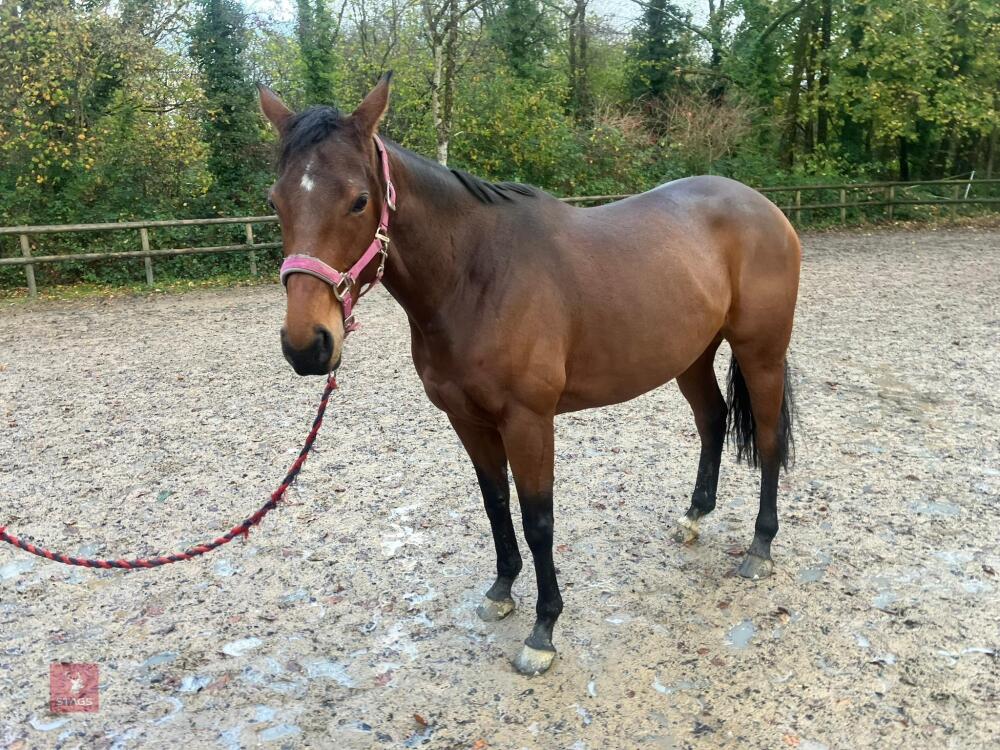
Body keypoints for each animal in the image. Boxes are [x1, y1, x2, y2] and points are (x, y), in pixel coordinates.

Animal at [257, 74, 800, 676]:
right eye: (276, 201)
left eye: (358, 201)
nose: (307, 346)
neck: (476, 275)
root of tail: (762, 205)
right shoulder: (468, 420)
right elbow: (495, 503)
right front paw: (500, 590)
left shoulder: (529, 421)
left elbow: (539, 520)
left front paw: (543, 631)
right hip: (691, 357)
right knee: (713, 419)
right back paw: (694, 516)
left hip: (761, 353)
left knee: (769, 440)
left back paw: (759, 548)